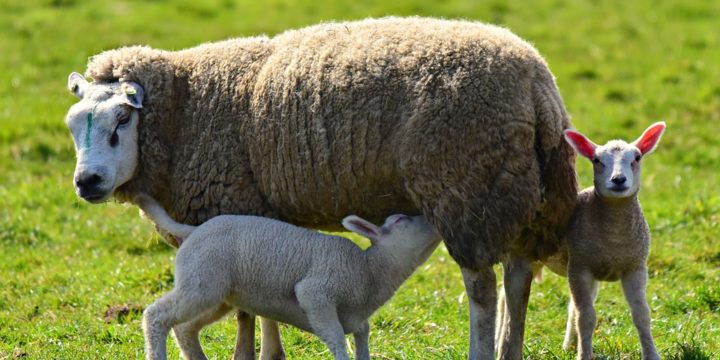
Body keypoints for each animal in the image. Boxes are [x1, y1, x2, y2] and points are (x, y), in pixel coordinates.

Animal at [133, 194, 442, 360]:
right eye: (401, 220)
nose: (432, 219)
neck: (369, 270)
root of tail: (192, 230)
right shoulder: (316, 294)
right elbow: (336, 339)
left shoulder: (358, 320)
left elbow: (362, 340)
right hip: (201, 282)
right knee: (156, 316)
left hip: (218, 293)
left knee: (185, 328)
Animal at [498, 122, 668, 358]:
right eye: (596, 160)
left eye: (637, 157)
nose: (618, 180)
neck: (614, 237)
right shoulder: (580, 266)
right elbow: (586, 317)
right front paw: (584, 355)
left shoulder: (635, 267)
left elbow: (641, 314)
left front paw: (652, 354)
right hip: (524, 253)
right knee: (504, 297)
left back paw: (569, 345)